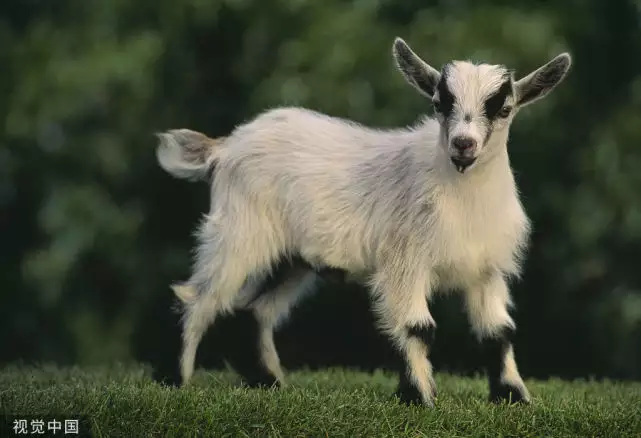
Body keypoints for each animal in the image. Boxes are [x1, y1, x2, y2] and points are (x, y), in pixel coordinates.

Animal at [155, 37, 568, 408]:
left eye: (504, 108)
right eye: (439, 103)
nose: (463, 144)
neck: (462, 196)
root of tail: (224, 147)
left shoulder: (486, 270)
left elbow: (499, 332)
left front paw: (513, 397)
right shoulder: (405, 262)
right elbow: (418, 327)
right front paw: (420, 398)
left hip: (290, 258)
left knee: (254, 309)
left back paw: (268, 382)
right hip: (239, 232)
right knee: (197, 297)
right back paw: (176, 381)